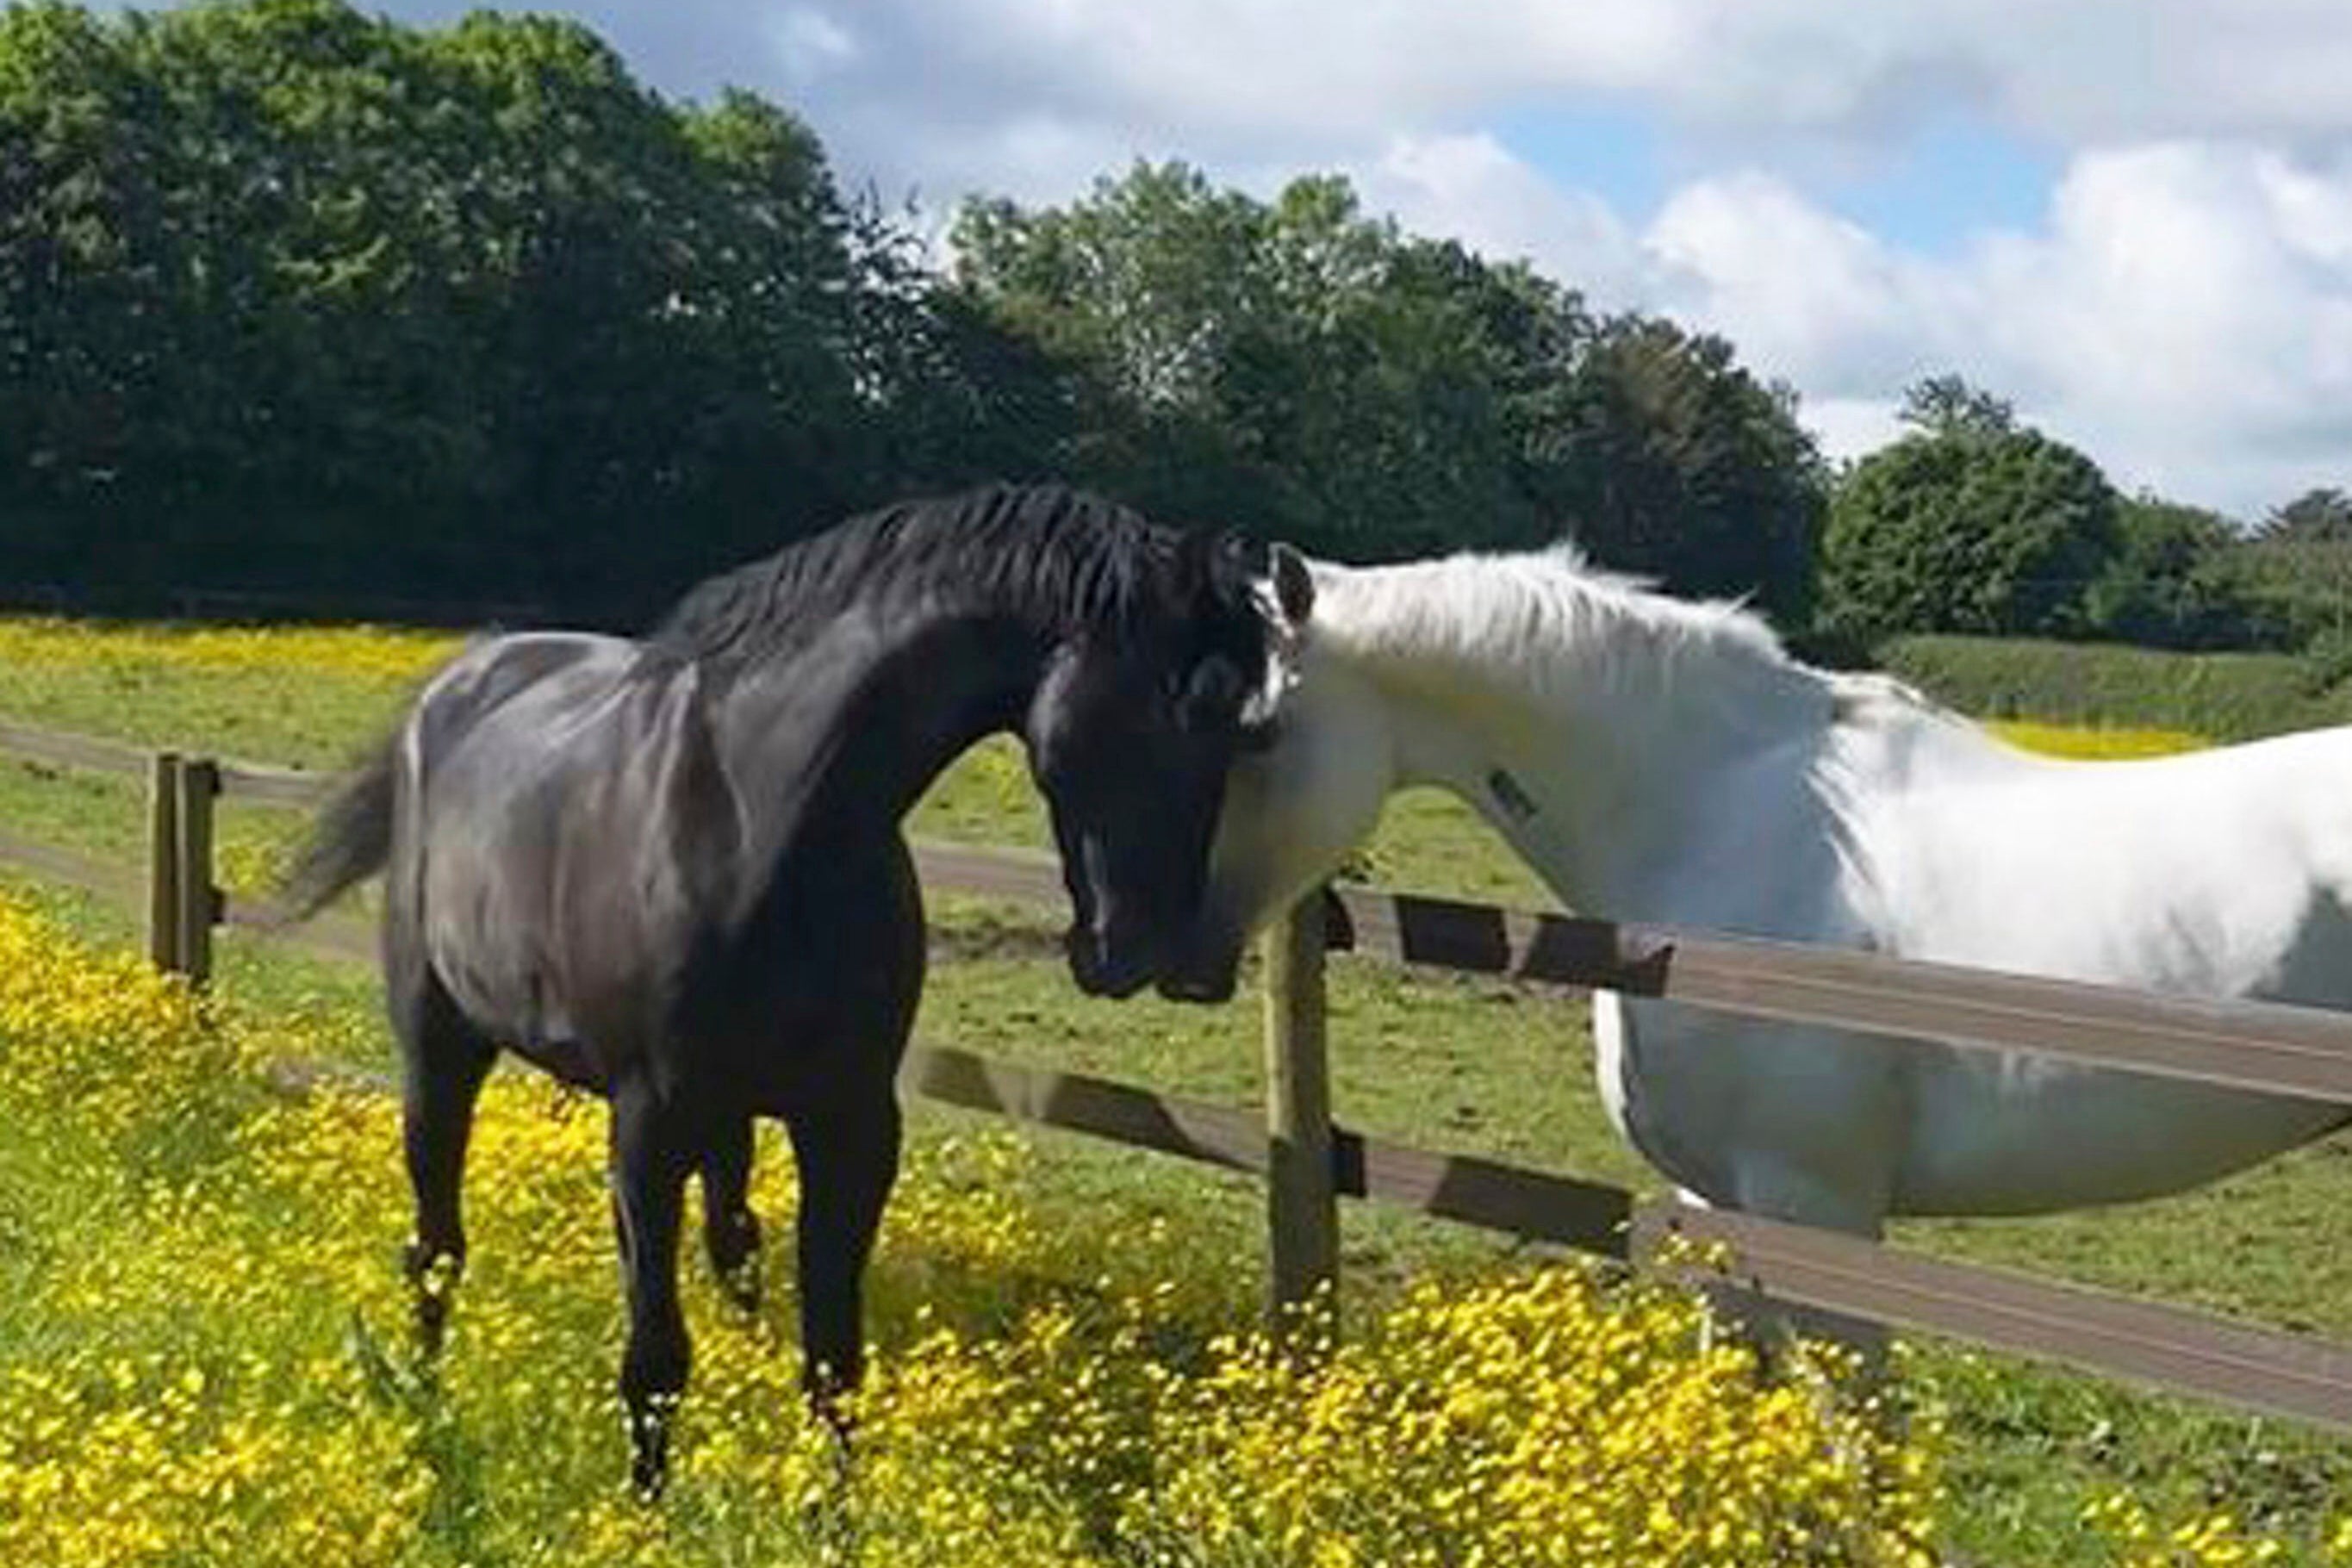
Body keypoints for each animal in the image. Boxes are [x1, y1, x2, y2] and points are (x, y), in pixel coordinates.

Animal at [282, 486, 1316, 1495]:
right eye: (1173, 707)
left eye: (1246, 730)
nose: (1158, 953)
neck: (757, 820)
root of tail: (455, 685)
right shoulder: (649, 1125)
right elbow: (655, 1359)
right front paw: (649, 1513)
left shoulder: (850, 1124)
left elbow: (832, 1361)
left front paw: (830, 1515)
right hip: (442, 1051)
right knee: (436, 1250)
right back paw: (423, 1409)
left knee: (727, 1241)